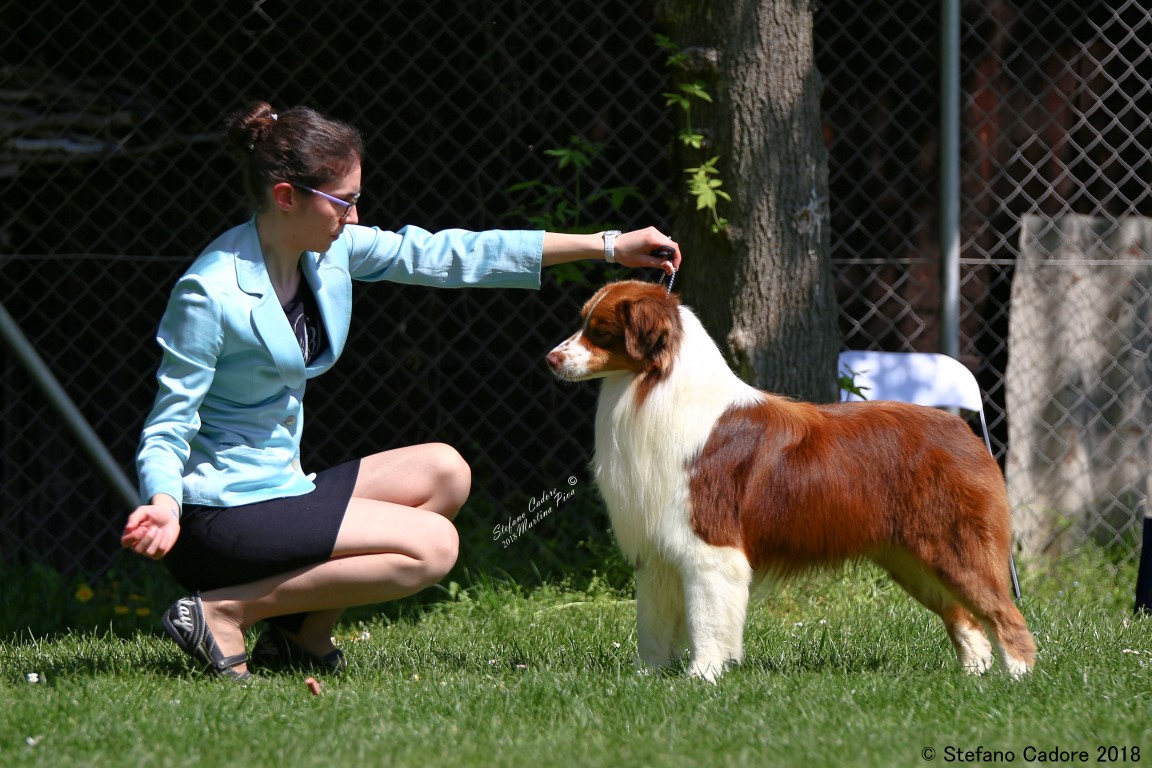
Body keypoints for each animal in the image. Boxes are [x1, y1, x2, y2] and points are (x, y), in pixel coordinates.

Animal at [546, 280, 1036, 677]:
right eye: (584, 321)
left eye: (600, 330)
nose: (550, 358)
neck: (650, 388)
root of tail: (964, 430)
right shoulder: (656, 551)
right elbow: (651, 625)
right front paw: (645, 679)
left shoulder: (709, 545)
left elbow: (707, 620)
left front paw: (702, 677)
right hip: (911, 558)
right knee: (965, 618)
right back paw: (972, 677)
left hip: (956, 546)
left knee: (1006, 615)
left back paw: (1017, 681)